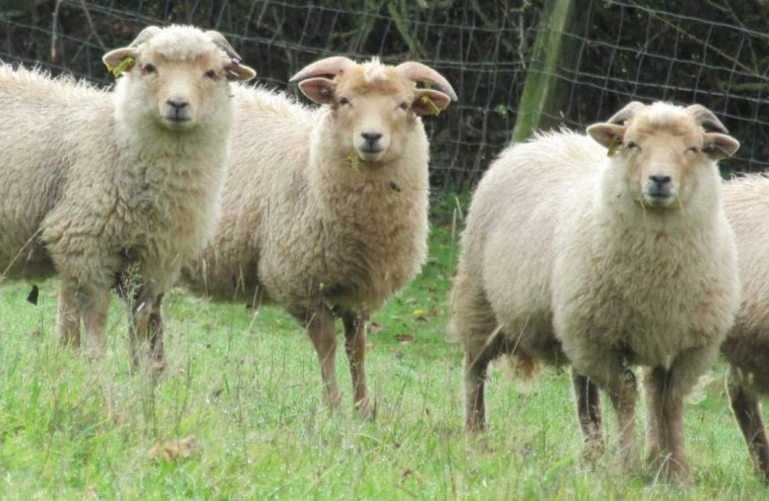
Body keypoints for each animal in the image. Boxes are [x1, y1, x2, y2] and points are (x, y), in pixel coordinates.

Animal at [0, 25, 256, 370]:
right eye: (148, 68)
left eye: (211, 73)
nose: (177, 104)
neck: (117, 139)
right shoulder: (81, 244)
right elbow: (95, 319)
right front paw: (95, 371)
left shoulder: (155, 261)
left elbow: (141, 322)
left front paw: (140, 376)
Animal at [181, 56, 457, 417]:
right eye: (344, 100)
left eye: (404, 104)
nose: (371, 137)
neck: (310, 166)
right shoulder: (299, 282)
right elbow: (327, 343)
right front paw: (334, 407)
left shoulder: (360, 292)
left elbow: (357, 348)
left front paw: (363, 408)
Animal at [452, 101, 740, 481]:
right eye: (632, 144)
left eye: (692, 148)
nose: (660, 180)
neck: (659, 274)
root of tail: (542, 139)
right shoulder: (601, 340)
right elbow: (626, 393)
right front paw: (629, 464)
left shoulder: (688, 346)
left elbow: (668, 400)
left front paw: (673, 470)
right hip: (480, 299)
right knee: (475, 369)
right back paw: (475, 434)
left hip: (575, 326)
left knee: (583, 389)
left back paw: (593, 452)